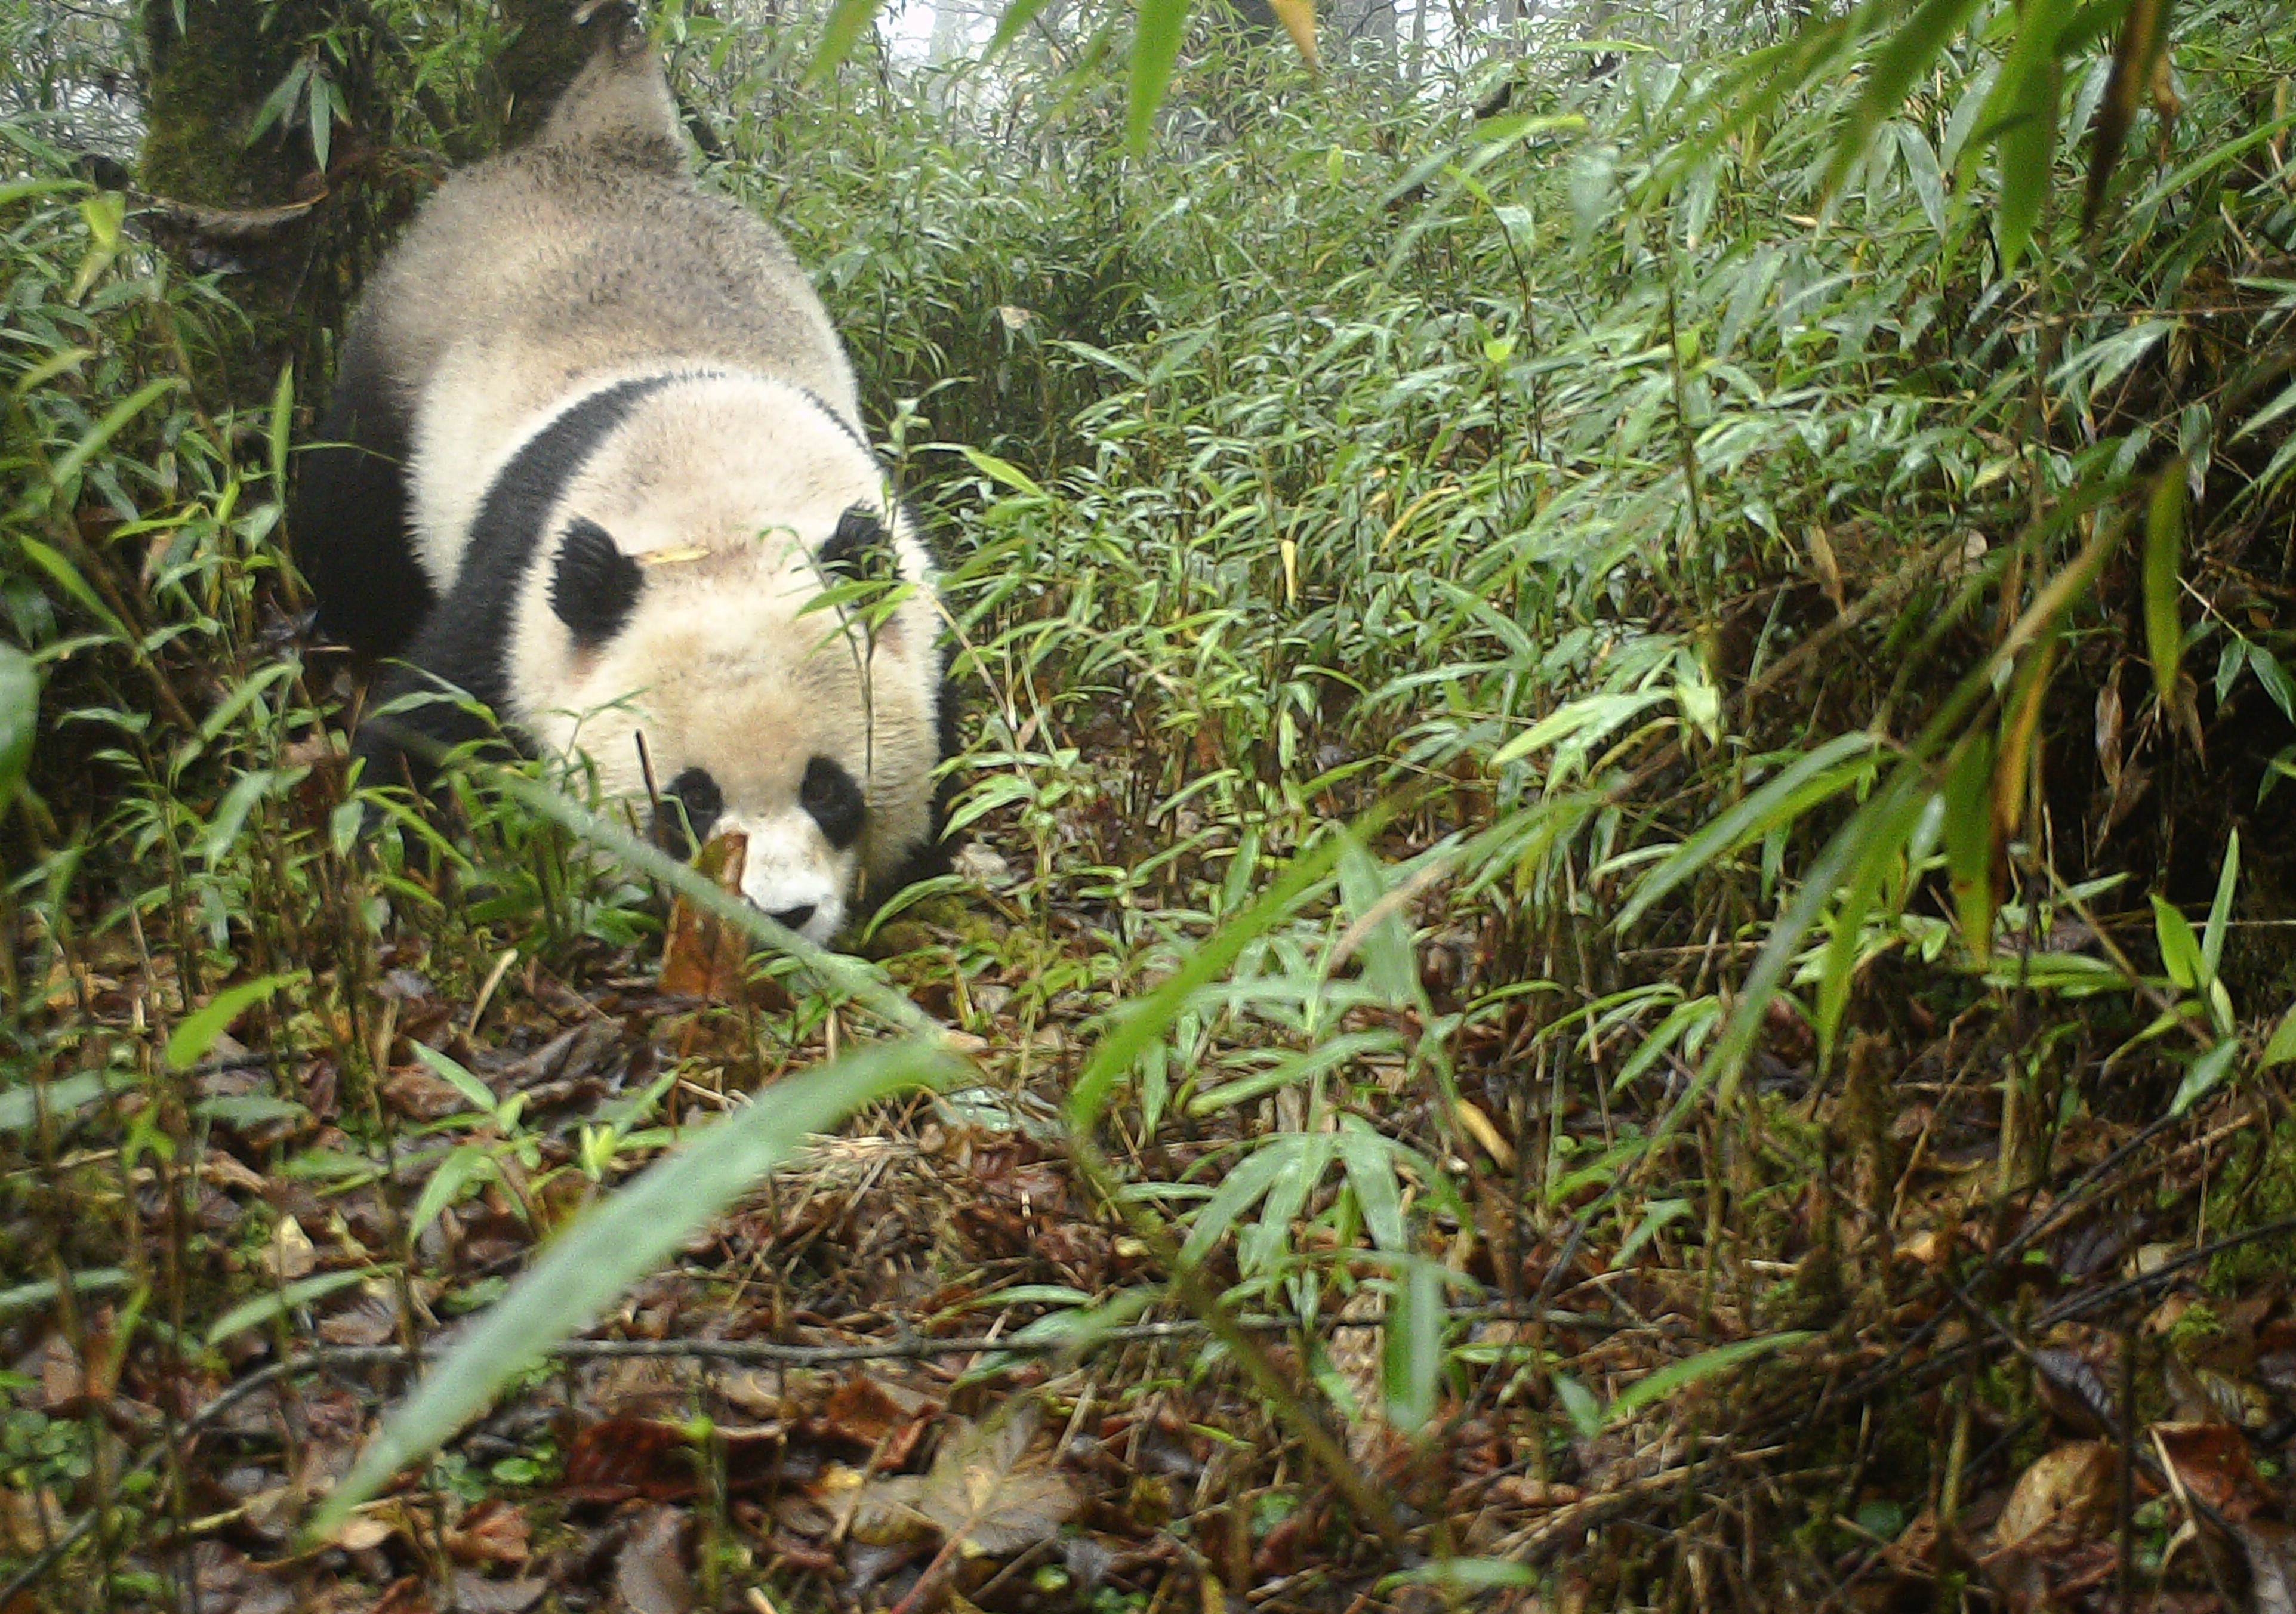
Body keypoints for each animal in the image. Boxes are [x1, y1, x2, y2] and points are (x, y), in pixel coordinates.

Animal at [289, 13, 950, 946]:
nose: (777, 916)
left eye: (827, 787)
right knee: (352, 515)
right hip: (405, 343)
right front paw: (391, 862)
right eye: (690, 799)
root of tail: (601, 145)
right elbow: (428, 719)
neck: (718, 508)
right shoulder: (517, 579)